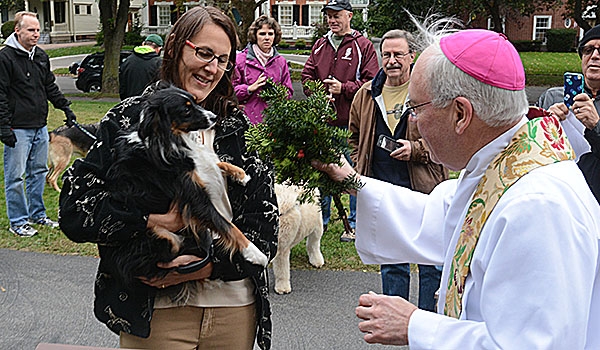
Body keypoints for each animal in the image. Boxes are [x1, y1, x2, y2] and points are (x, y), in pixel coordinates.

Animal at [105, 85, 268, 292]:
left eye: (195, 102)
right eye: (186, 110)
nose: (214, 117)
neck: (168, 137)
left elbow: (214, 162)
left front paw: (240, 174)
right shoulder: (195, 198)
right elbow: (227, 226)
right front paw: (255, 253)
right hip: (163, 238)